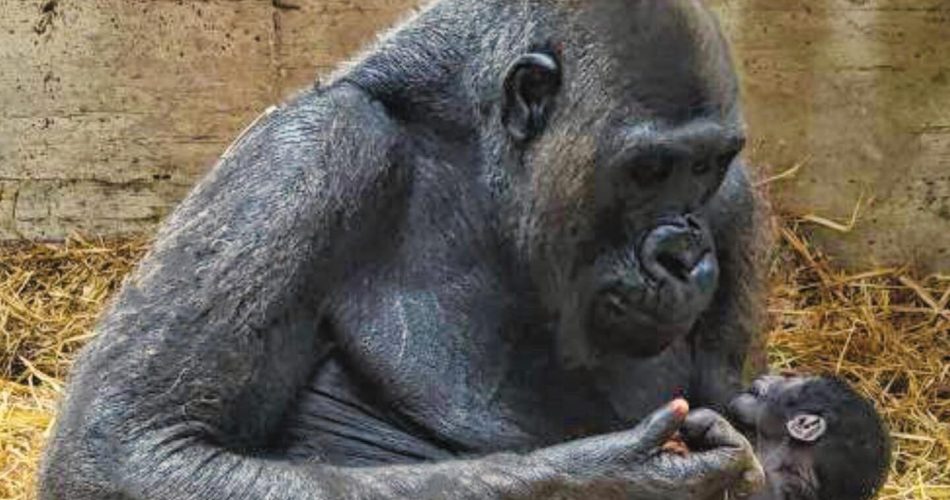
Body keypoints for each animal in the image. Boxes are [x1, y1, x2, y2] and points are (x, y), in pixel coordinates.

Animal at [39, 0, 771, 498]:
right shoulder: (313, 156)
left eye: (704, 167)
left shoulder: (735, 201)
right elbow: (127, 447)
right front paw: (618, 477)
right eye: (649, 170)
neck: (481, 156)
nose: (682, 254)